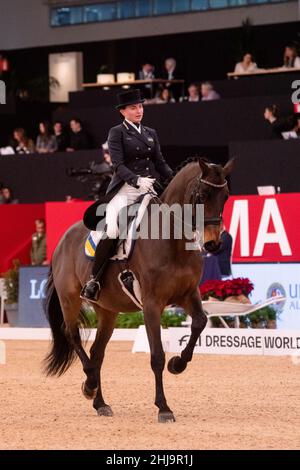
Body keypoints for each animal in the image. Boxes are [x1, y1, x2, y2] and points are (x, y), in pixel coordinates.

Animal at [43, 158, 233, 422]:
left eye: (225, 196)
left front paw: (177, 364)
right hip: (69, 298)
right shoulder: (152, 304)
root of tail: (63, 239)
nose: (213, 244)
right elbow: (157, 356)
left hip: (107, 310)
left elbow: (199, 323)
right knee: (72, 335)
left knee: (97, 352)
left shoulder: (188, 294)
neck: (171, 240)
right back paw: (89, 386)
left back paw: (100, 402)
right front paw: (164, 407)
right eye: (203, 195)